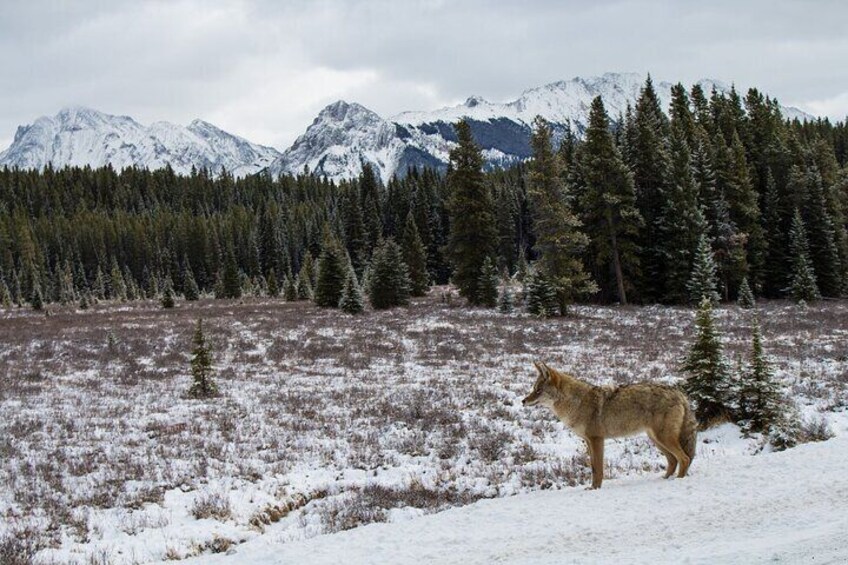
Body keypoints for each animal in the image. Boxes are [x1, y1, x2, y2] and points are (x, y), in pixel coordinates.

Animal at [522, 362, 697, 489]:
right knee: (673, 460)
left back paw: (679, 480)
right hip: (657, 440)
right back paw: (665, 479)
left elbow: (598, 469)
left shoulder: (597, 440)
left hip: (663, 438)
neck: (576, 403)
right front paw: (592, 487)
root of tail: (679, 393)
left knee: (684, 458)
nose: (523, 401)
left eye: (538, 390)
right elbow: (593, 467)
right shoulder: (589, 441)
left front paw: (595, 488)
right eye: (533, 389)